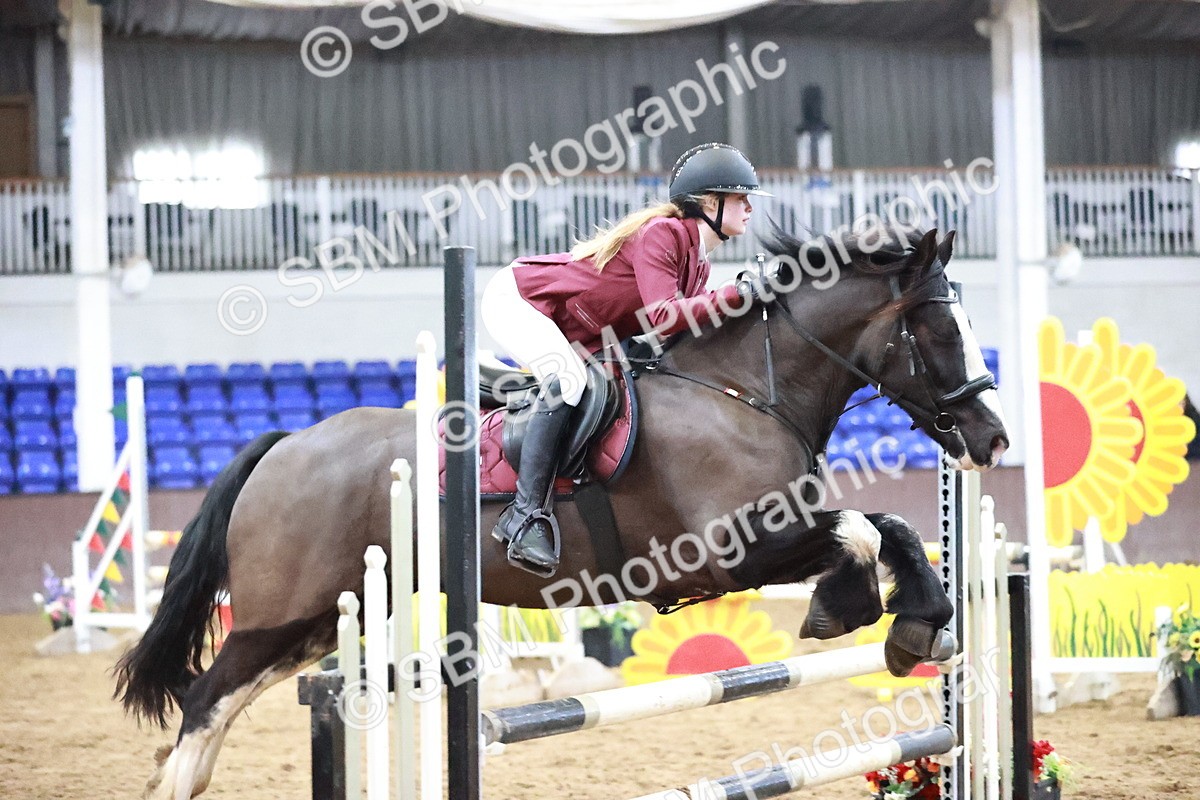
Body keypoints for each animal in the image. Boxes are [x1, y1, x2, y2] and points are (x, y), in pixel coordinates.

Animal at [114, 225, 1008, 799]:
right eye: (939, 331)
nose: (993, 439)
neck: (744, 391)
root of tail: (288, 444)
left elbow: (894, 531)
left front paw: (919, 626)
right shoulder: (730, 550)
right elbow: (857, 533)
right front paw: (847, 609)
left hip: (313, 620)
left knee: (224, 702)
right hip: (278, 611)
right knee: (205, 697)